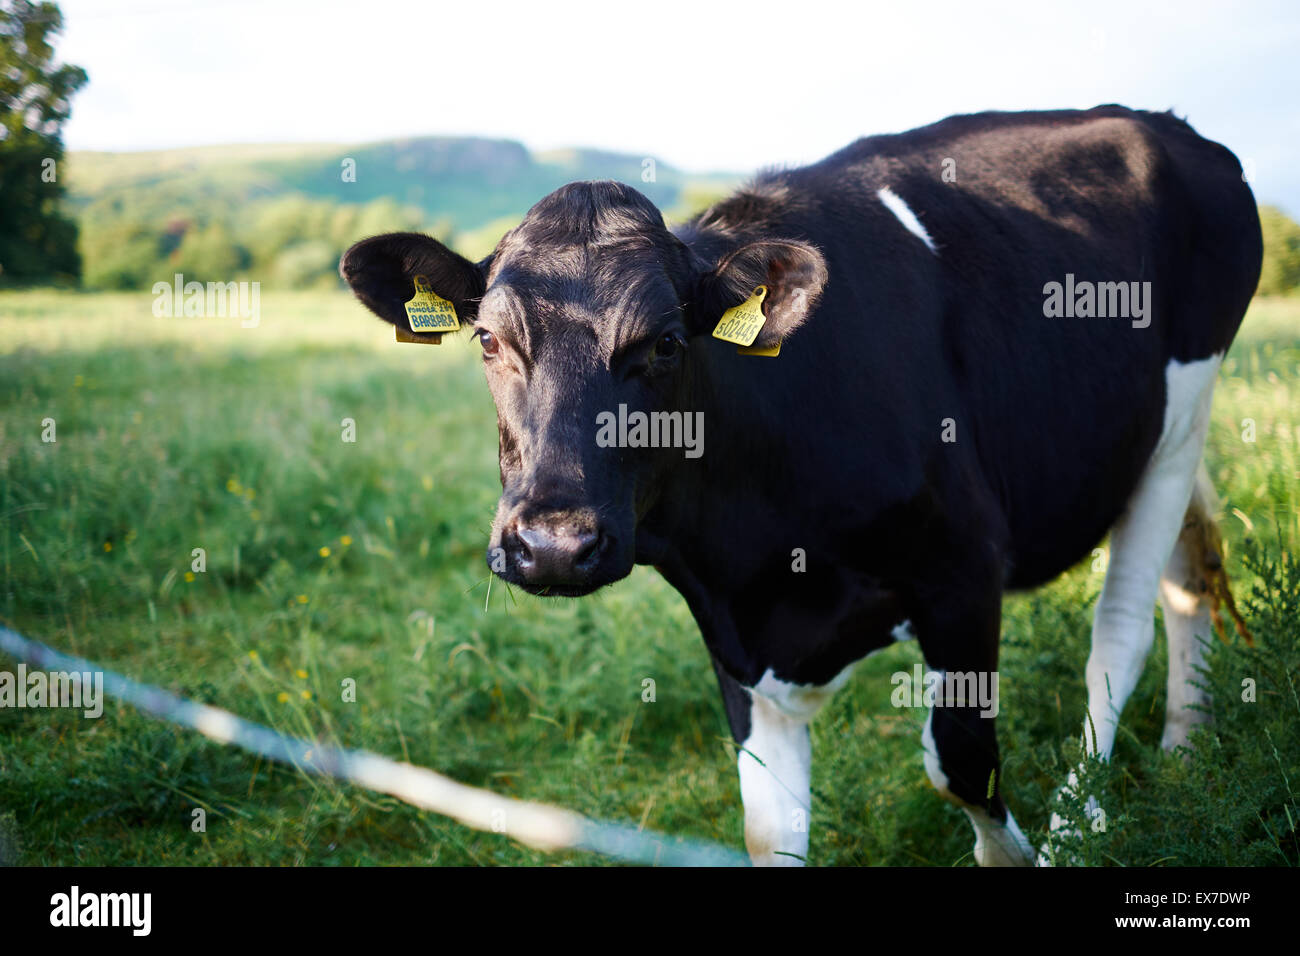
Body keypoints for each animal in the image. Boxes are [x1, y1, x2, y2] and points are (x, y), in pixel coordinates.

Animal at [340, 105, 1263, 866]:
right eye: (488, 340)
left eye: (666, 342)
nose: (553, 546)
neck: (762, 554)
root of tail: (1164, 123)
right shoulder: (733, 634)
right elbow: (769, 828)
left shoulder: (964, 565)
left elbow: (962, 762)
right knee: (1191, 573)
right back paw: (1187, 753)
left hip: (1181, 412)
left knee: (1123, 629)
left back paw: (1083, 823)